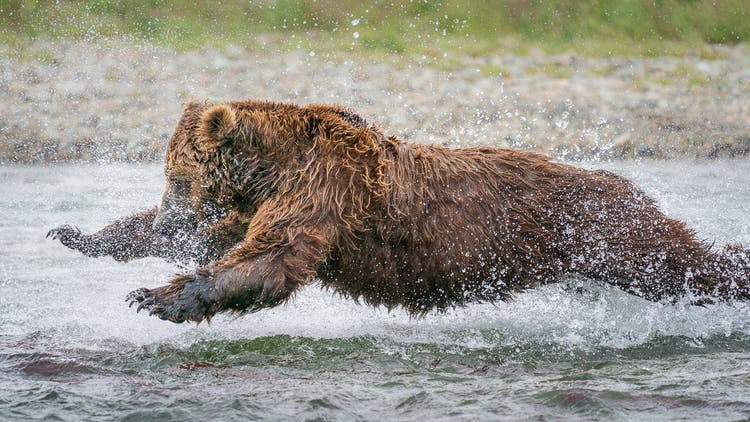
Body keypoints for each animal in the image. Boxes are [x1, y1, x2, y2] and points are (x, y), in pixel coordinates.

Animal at [49, 100, 750, 323]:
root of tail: (623, 181)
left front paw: (158, 297)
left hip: (606, 231)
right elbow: (227, 242)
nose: (171, 212)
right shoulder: (259, 203)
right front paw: (78, 234)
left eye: (178, 176)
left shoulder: (323, 189)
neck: (273, 166)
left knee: (679, 260)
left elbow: (272, 258)